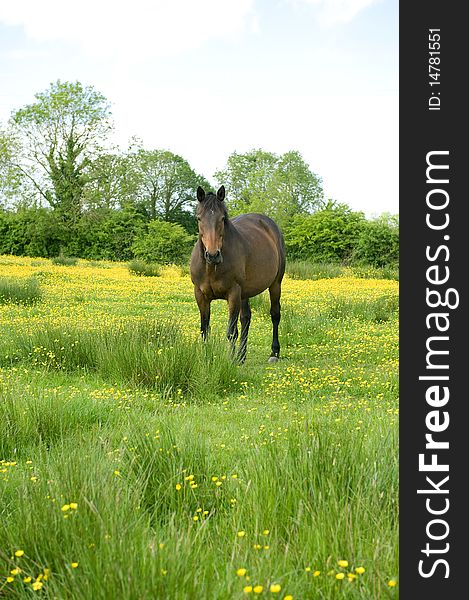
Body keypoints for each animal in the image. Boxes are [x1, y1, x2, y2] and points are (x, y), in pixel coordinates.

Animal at [189, 184, 286, 360]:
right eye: (199, 218)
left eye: (222, 218)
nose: (212, 255)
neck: (211, 268)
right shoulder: (200, 295)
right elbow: (205, 329)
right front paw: (207, 357)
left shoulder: (233, 293)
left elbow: (231, 332)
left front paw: (230, 360)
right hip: (245, 292)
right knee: (246, 318)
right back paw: (242, 355)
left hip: (275, 284)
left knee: (275, 314)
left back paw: (274, 352)